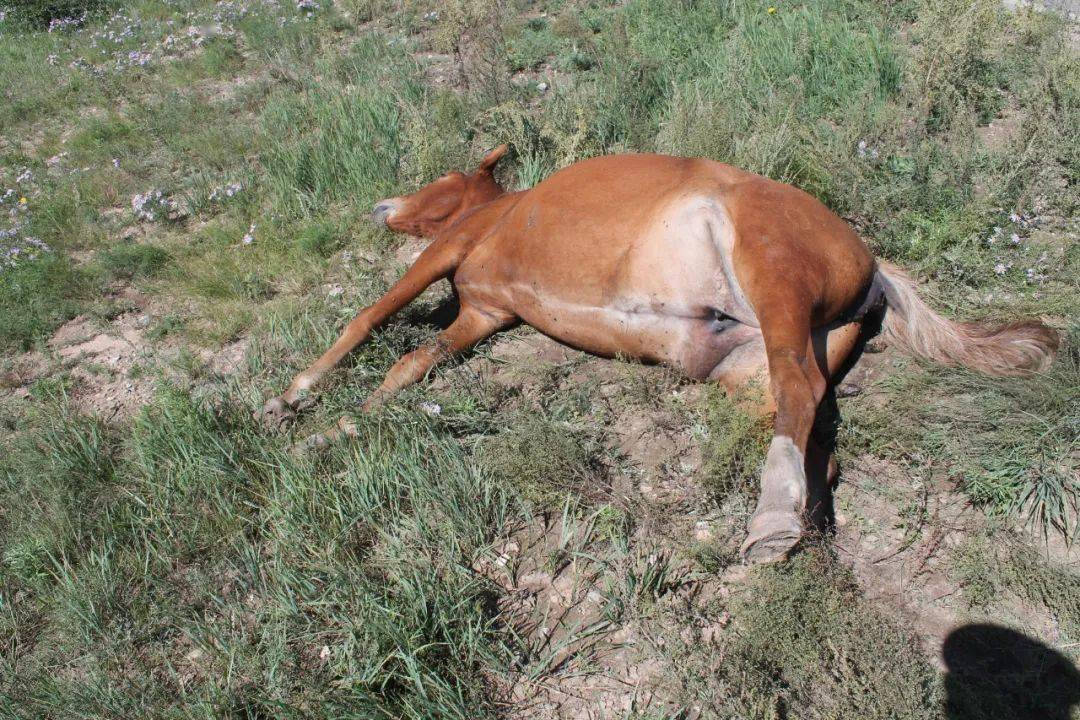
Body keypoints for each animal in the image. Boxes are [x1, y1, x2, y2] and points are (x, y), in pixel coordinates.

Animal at [257, 145, 1058, 564]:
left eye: (445, 177)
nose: (380, 206)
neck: (502, 211)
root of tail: (874, 262)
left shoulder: (445, 253)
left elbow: (367, 319)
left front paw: (294, 400)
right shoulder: (485, 312)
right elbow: (412, 364)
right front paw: (343, 427)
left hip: (771, 274)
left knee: (800, 392)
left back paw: (769, 523)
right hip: (752, 365)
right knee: (814, 436)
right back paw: (796, 522)